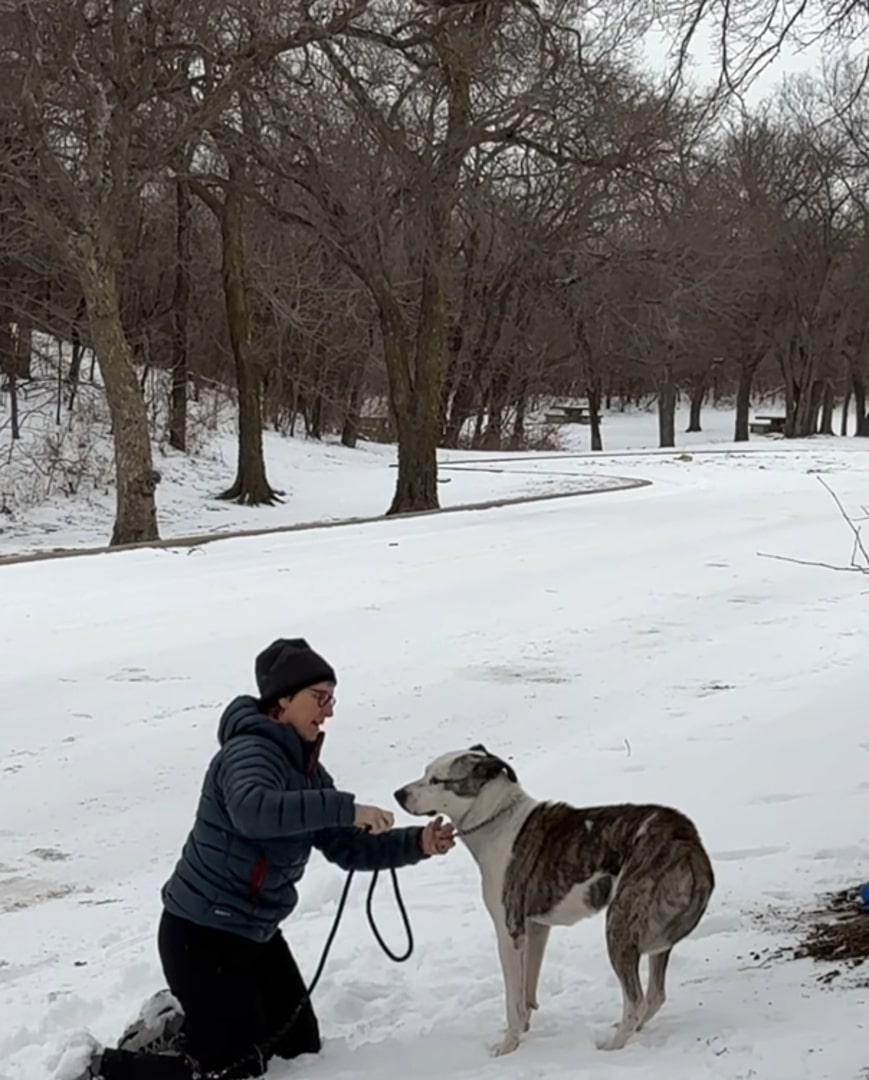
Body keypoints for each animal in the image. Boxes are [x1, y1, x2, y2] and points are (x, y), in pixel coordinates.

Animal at [397, 743, 716, 1054]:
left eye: (436, 780)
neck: (496, 818)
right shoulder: (537, 928)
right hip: (653, 932)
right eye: (425, 773)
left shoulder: (509, 932)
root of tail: (687, 841)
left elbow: (512, 1000)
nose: (398, 794)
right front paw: (523, 1030)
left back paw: (614, 1044)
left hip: (620, 922)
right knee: (656, 995)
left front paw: (508, 1046)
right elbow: (526, 991)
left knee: (636, 1000)